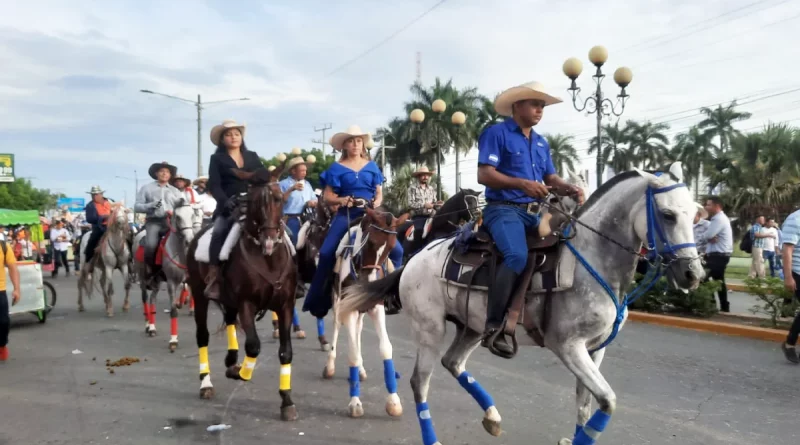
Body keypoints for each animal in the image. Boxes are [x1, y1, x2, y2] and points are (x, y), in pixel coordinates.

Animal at [131, 199, 200, 350]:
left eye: (192, 214)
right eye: (178, 217)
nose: (189, 239)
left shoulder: (191, 281)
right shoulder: (171, 283)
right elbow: (173, 310)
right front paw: (173, 340)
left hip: (156, 282)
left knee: (152, 299)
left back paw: (152, 327)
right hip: (143, 278)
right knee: (145, 298)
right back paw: (148, 325)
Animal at [187, 162, 300, 420]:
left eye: (279, 198)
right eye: (254, 201)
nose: (269, 239)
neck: (268, 259)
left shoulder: (285, 305)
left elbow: (285, 352)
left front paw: (287, 400)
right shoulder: (247, 304)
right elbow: (253, 346)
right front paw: (240, 373)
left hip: (229, 300)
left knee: (229, 320)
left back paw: (231, 360)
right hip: (199, 295)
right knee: (202, 336)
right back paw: (206, 382)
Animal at [340, 162, 704, 444]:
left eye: (694, 213)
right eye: (668, 215)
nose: (693, 273)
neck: (591, 260)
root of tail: (414, 259)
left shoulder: (596, 349)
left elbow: (586, 406)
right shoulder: (568, 346)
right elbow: (608, 402)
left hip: (472, 327)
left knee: (453, 363)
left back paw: (492, 416)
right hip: (430, 328)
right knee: (420, 382)